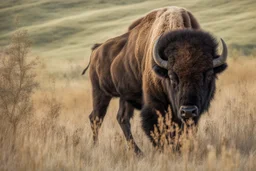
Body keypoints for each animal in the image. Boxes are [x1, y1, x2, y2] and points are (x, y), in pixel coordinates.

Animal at [82, 6, 228, 154]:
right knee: (96, 118)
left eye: (209, 74)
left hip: (124, 97)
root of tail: (96, 50)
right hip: (100, 93)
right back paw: (96, 147)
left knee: (122, 118)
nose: (188, 110)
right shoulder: (155, 105)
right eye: (172, 76)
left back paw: (138, 152)